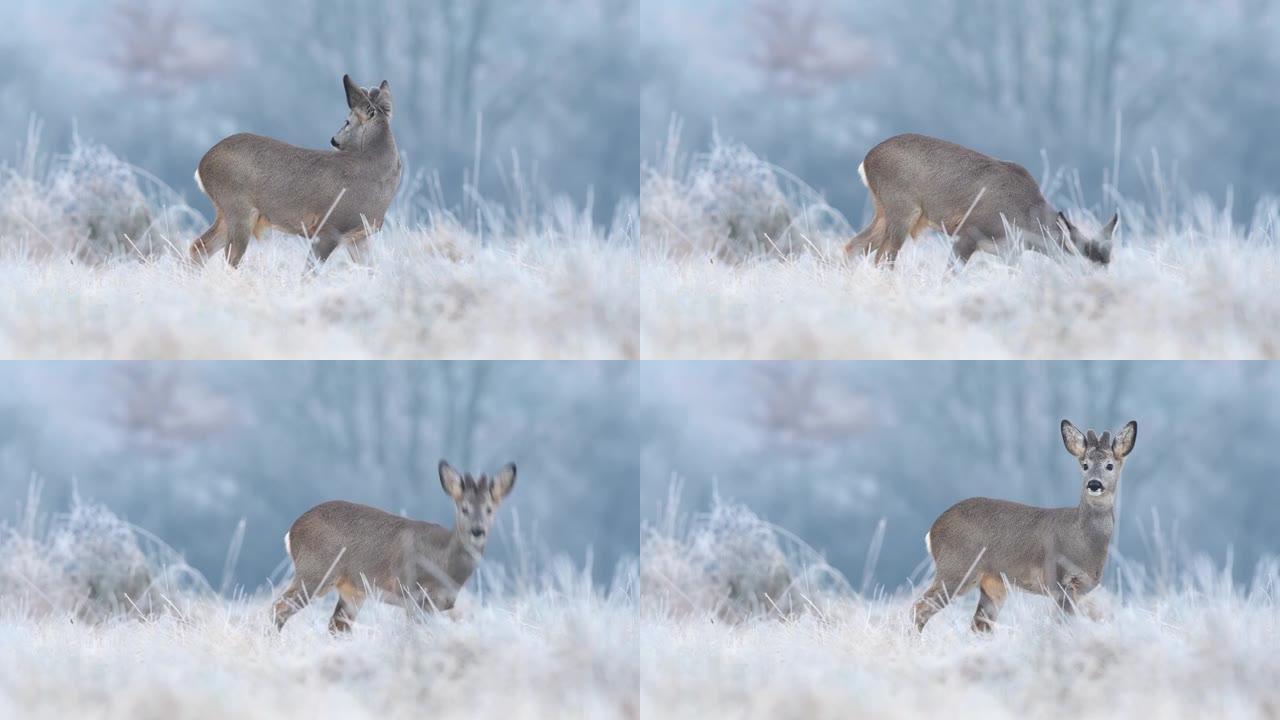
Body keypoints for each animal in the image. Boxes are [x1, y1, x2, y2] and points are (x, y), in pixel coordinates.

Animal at [188, 73, 399, 269]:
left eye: (346, 122)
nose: (333, 140)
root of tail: (202, 164)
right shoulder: (329, 227)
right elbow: (309, 273)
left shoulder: (359, 236)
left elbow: (372, 270)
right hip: (238, 208)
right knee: (229, 259)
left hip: (228, 212)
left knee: (199, 247)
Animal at [273, 456, 514, 630]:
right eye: (464, 508)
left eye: (489, 509)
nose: (477, 530)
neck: (446, 565)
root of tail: (292, 531)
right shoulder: (414, 593)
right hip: (316, 571)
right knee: (279, 607)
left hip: (351, 589)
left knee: (336, 625)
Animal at [849, 133, 1111, 265]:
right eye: (1086, 267)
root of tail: (866, 160)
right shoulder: (968, 232)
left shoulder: (1010, 252)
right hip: (902, 208)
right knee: (882, 258)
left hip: (884, 210)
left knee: (853, 247)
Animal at [916, 417, 1136, 630]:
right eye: (1085, 465)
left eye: (1109, 465)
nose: (1094, 484)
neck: (1083, 541)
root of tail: (933, 530)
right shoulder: (1059, 580)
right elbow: (1063, 624)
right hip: (957, 567)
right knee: (920, 607)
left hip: (992, 582)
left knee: (979, 624)